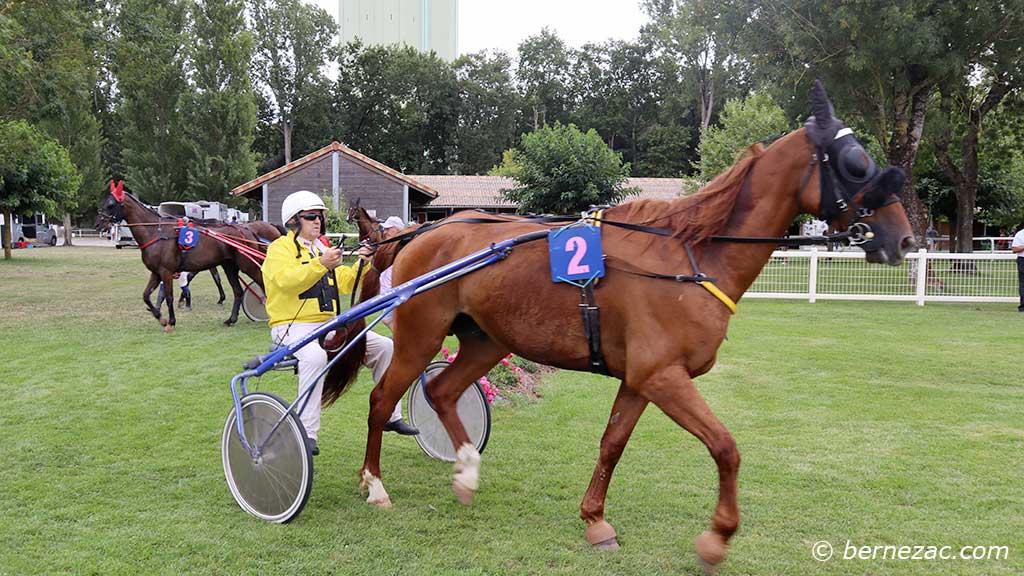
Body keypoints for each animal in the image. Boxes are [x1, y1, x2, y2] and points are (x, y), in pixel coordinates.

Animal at [97, 181, 280, 330]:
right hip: (229, 266)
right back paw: (231, 319)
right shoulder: (156, 272)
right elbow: (146, 296)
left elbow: (169, 297)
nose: (99, 223)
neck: (156, 232)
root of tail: (247, 230)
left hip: (247, 264)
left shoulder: (166, 271)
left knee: (261, 282)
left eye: (111, 204)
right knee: (238, 291)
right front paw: (160, 317)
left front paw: (171, 321)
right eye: (104, 202)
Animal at [348, 84, 917, 569]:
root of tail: (422, 231)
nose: (906, 239)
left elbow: (612, 444)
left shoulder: (641, 379)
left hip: (486, 340)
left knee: (442, 391)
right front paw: (717, 537)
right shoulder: (663, 376)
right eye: (856, 162)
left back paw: (466, 472)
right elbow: (725, 447)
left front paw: (596, 521)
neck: (689, 258)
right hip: (420, 335)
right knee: (382, 399)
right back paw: (375, 485)